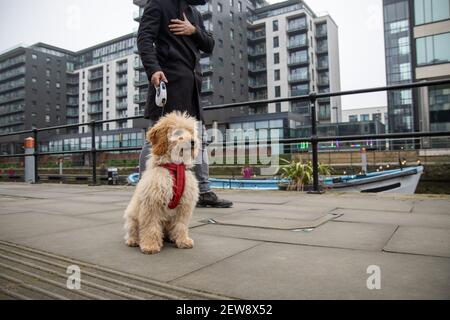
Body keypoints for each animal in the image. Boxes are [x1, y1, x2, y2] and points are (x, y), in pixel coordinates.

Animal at [124, 112, 200, 255]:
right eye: (178, 133)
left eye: (191, 131)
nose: (193, 142)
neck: (174, 167)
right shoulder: (152, 203)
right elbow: (151, 226)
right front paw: (150, 246)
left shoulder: (184, 205)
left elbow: (181, 224)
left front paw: (183, 241)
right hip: (132, 216)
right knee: (133, 230)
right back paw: (133, 240)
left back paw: (172, 237)